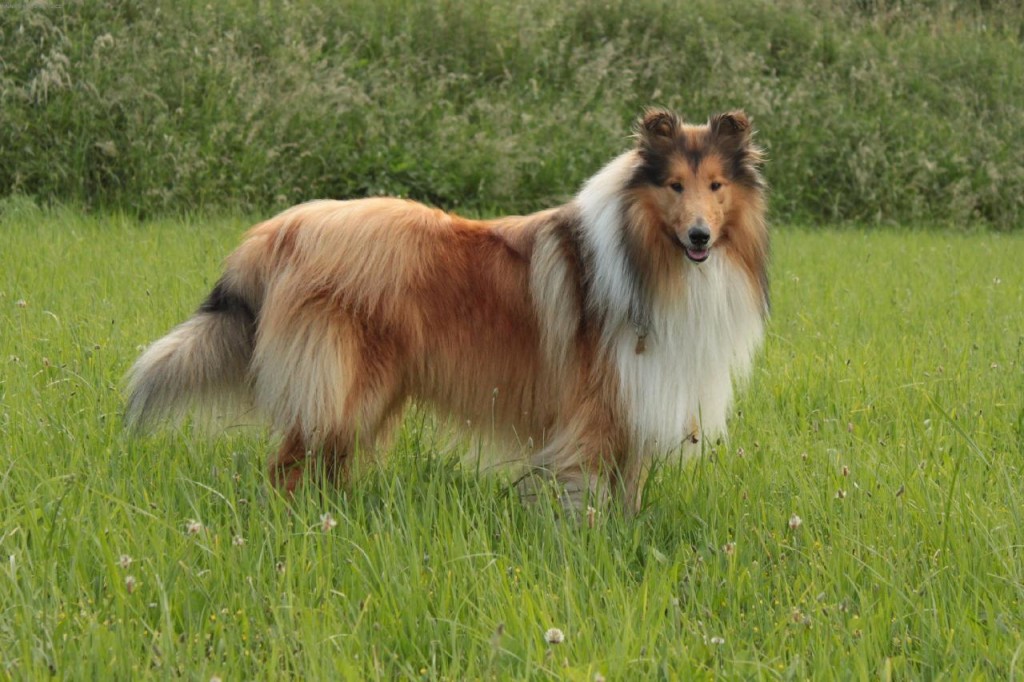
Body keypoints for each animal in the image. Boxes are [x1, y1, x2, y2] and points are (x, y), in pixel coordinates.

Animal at [125, 107, 770, 509]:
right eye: (674, 186)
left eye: (716, 186)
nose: (699, 237)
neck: (649, 262)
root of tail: (282, 229)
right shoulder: (595, 414)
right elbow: (585, 499)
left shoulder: (638, 404)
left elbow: (626, 499)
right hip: (343, 390)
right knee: (286, 467)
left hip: (363, 397)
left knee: (324, 469)